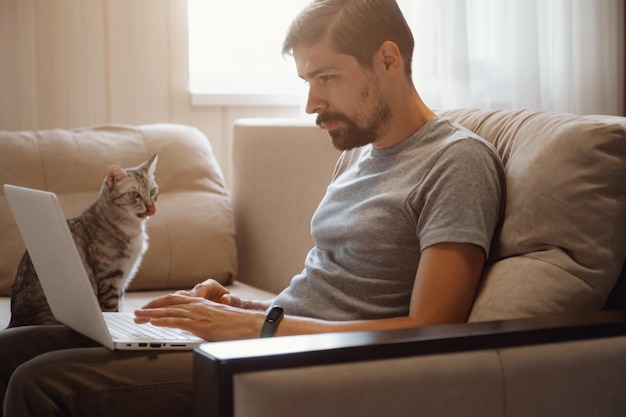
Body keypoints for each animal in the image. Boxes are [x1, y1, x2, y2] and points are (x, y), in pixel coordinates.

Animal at [7, 154, 158, 326]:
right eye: (135, 195)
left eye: (152, 191)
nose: (150, 206)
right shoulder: (110, 281)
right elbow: (112, 310)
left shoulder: (123, 282)